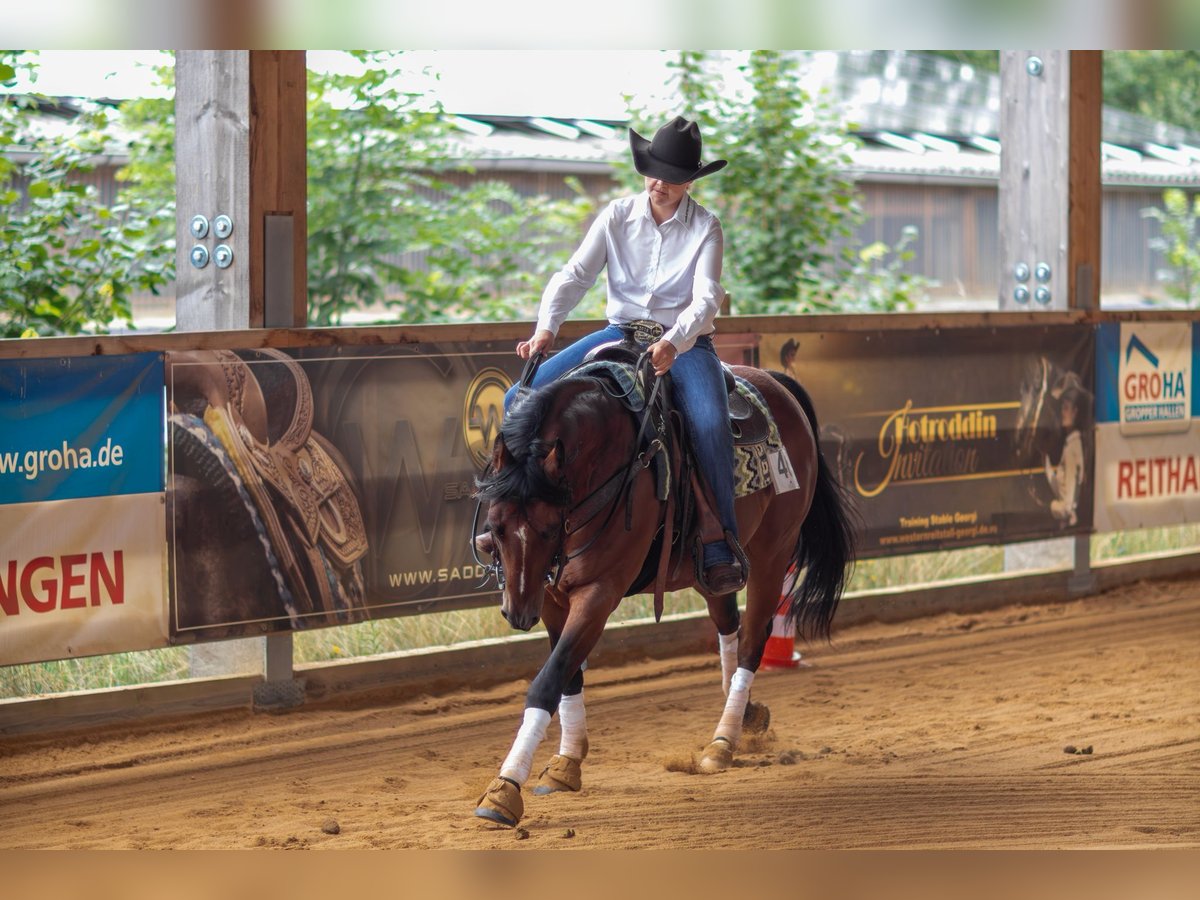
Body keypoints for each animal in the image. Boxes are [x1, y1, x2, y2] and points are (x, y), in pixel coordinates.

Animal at [470, 350, 857, 827]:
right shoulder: (554, 597)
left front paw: (504, 789)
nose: (518, 612)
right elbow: (568, 674)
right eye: (496, 525)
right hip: (714, 566)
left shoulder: (599, 593)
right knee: (727, 623)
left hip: (773, 552)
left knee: (753, 639)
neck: (610, 461)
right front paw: (566, 762)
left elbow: (549, 680)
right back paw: (746, 714)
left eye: (546, 527)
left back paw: (722, 742)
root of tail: (774, 381)